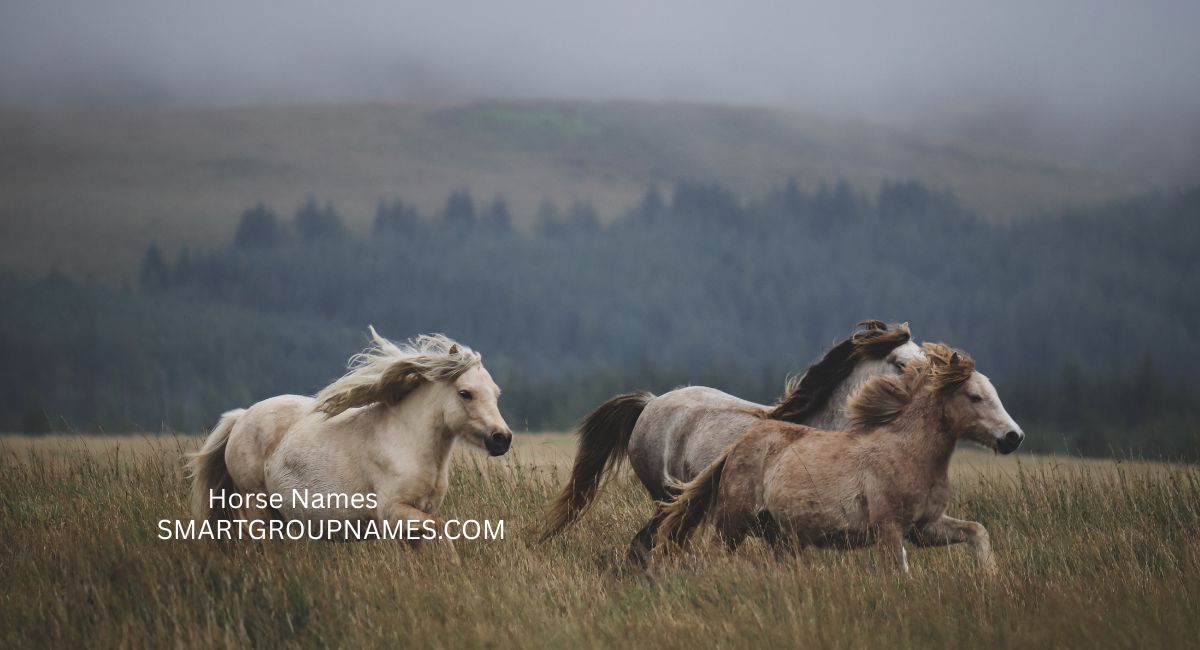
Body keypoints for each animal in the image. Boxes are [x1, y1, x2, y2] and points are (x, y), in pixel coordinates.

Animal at [187, 328, 512, 560]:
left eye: (496, 393)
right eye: (465, 393)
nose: (502, 439)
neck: (408, 442)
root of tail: (241, 417)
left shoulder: (414, 519)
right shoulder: (392, 513)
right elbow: (442, 528)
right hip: (256, 505)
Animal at [654, 343, 1023, 574]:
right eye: (974, 397)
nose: (1013, 437)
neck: (908, 452)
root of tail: (736, 446)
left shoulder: (925, 528)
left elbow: (977, 531)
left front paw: (990, 576)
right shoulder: (889, 529)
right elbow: (898, 572)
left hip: (781, 536)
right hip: (733, 522)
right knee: (713, 555)